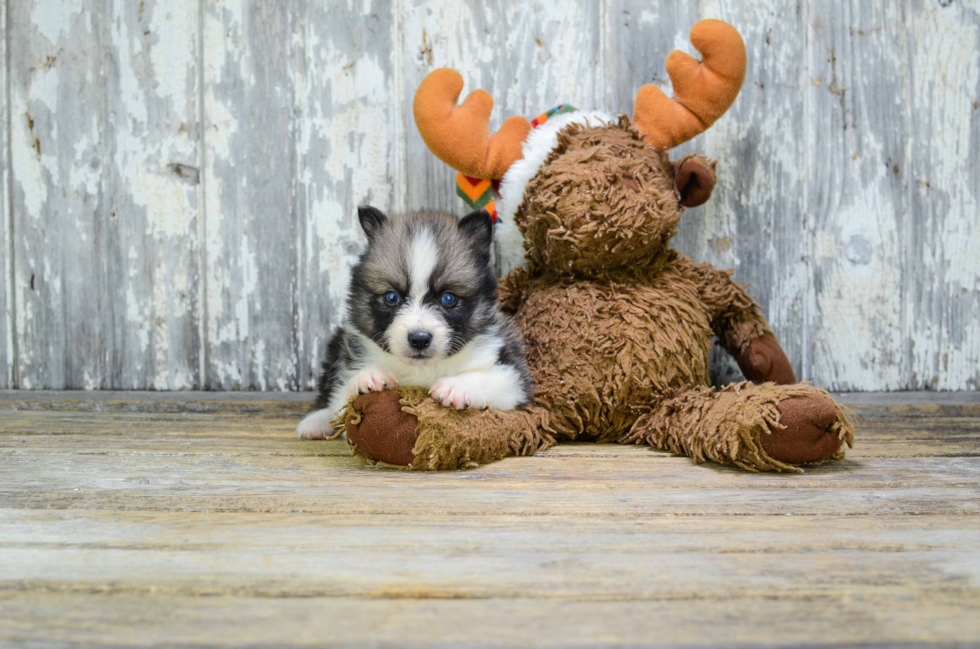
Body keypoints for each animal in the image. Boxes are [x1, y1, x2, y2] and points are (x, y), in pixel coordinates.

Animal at [294, 208, 532, 440]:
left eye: (448, 298)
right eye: (391, 297)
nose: (419, 340)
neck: (421, 369)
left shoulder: (515, 376)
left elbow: (495, 379)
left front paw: (455, 386)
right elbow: (342, 398)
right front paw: (368, 376)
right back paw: (316, 422)